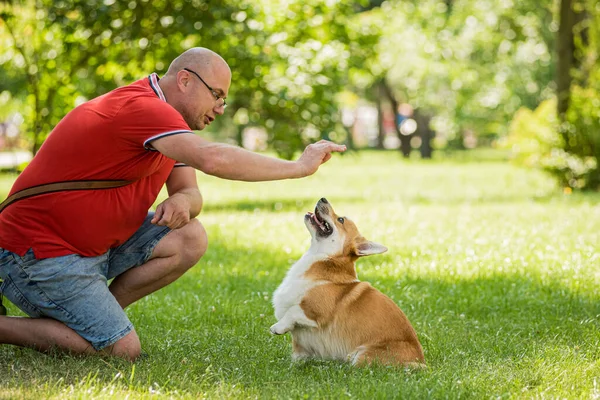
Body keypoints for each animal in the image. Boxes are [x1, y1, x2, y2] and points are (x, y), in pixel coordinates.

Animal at [270, 198, 424, 368]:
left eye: (341, 220)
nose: (323, 199)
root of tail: (420, 361)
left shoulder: (315, 311)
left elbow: (292, 312)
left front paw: (278, 327)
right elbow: (298, 353)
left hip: (361, 355)